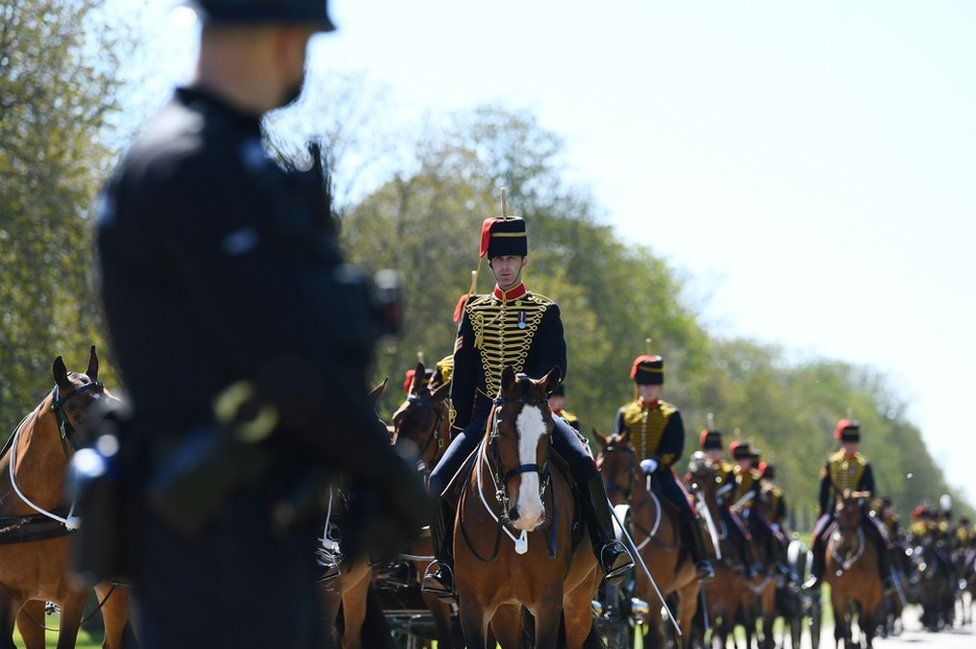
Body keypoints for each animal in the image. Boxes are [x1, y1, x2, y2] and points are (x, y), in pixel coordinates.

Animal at [452, 368, 604, 644]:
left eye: (549, 432)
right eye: (501, 432)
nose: (528, 514)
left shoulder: (548, 602)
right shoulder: (473, 606)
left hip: (578, 604)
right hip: (507, 610)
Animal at [596, 428, 700, 644]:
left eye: (627, 468)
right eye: (600, 464)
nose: (611, 507)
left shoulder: (653, 593)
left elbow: (654, 637)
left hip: (690, 589)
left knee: (683, 629)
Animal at [824, 492, 884, 648]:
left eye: (857, 513)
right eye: (837, 514)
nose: (845, 544)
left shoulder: (868, 595)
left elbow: (867, 626)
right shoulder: (837, 594)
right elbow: (839, 629)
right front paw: (848, 641)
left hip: (873, 595)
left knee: (866, 624)